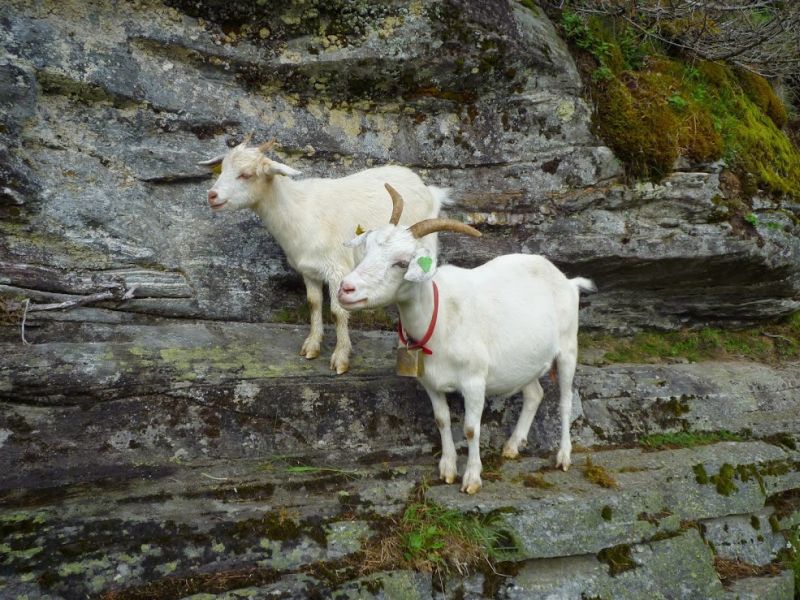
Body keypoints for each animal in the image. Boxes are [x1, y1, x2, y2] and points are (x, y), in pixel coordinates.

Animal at [199, 142, 446, 374]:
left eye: (246, 174)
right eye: (222, 169)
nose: (212, 196)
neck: (300, 211)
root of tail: (429, 190)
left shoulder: (338, 268)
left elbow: (338, 312)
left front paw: (341, 357)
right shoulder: (309, 270)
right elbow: (314, 303)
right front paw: (312, 346)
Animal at [337, 184, 595, 493]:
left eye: (401, 263)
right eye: (366, 249)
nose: (346, 289)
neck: (440, 316)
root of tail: (568, 282)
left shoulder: (474, 381)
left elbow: (472, 429)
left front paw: (472, 478)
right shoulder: (430, 381)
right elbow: (442, 420)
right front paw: (447, 469)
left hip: (568, 348)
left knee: (565, 400)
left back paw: (563, 456)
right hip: (524, 360)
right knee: (535, 394)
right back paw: (512, 445)